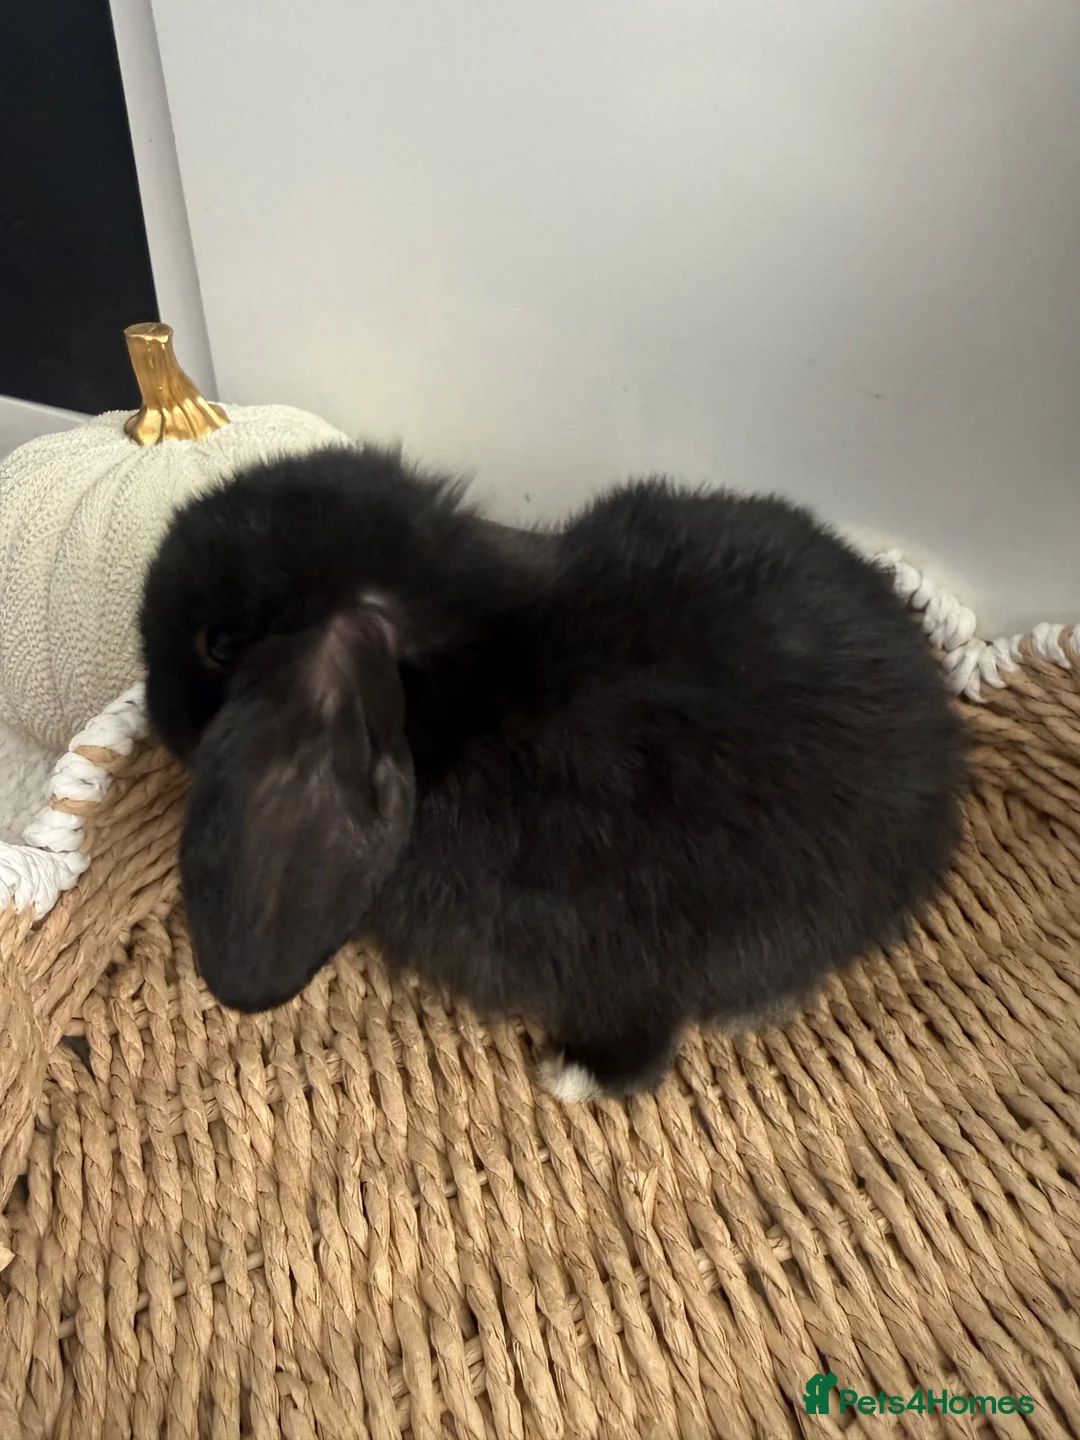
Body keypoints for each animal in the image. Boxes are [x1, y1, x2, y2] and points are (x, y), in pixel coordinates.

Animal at [140, 443, 967, 1100]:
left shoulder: (626, 951)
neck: (480, 691)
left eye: (217, 643)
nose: (152, 708)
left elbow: (639, 1043)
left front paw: (576, 1078)